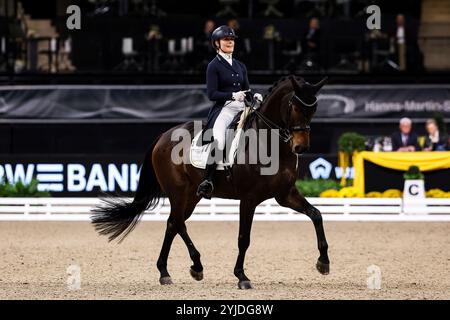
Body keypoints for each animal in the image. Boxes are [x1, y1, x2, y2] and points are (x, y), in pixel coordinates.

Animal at [92, 75, 330, 290]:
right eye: (294, 107)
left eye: (314, 109)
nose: (301, 147)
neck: (269, 143)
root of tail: (164, 136)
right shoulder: (249, 198)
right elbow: (244, 237)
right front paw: (241, 276)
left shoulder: (285, 194)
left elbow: (316, 214)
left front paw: (323, 263)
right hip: (178, 192)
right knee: (178, 223)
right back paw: (196, 266)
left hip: (192, 196)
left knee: (173, 223)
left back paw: (166, 272)